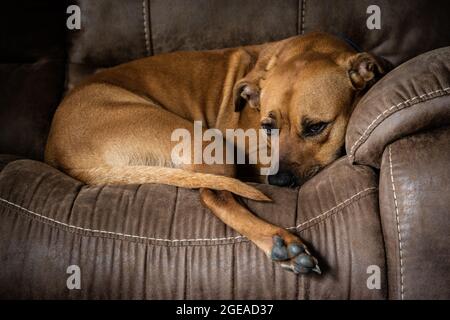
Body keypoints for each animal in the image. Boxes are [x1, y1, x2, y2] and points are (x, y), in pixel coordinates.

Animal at [44, 31, 384, 274]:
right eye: (268, 126)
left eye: (315, 127)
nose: (277, 181)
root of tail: (59, 151)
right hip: (203, 140)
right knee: (214, 194)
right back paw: (281, 242)